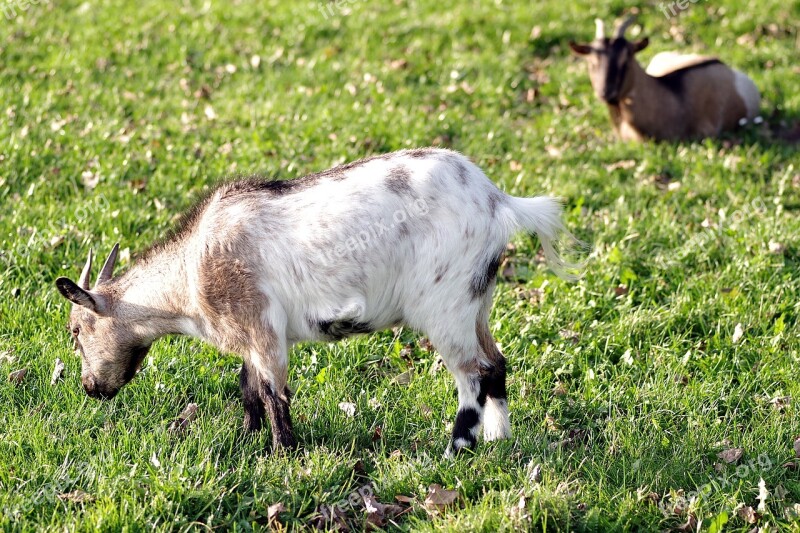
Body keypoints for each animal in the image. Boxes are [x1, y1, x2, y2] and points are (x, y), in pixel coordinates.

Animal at [56, 149, 580, 454]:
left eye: (76, 330)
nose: (90, 387)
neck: (190, 273)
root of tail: (498, 201)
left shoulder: (263, 329)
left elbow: (273, 393)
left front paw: (285, 454)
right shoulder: (254, 336)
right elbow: (248, 388)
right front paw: (245, 439)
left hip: (445, 305)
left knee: (470, 375)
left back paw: (455, 450)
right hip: (478, 301)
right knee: (496, 363)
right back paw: (498, 438)